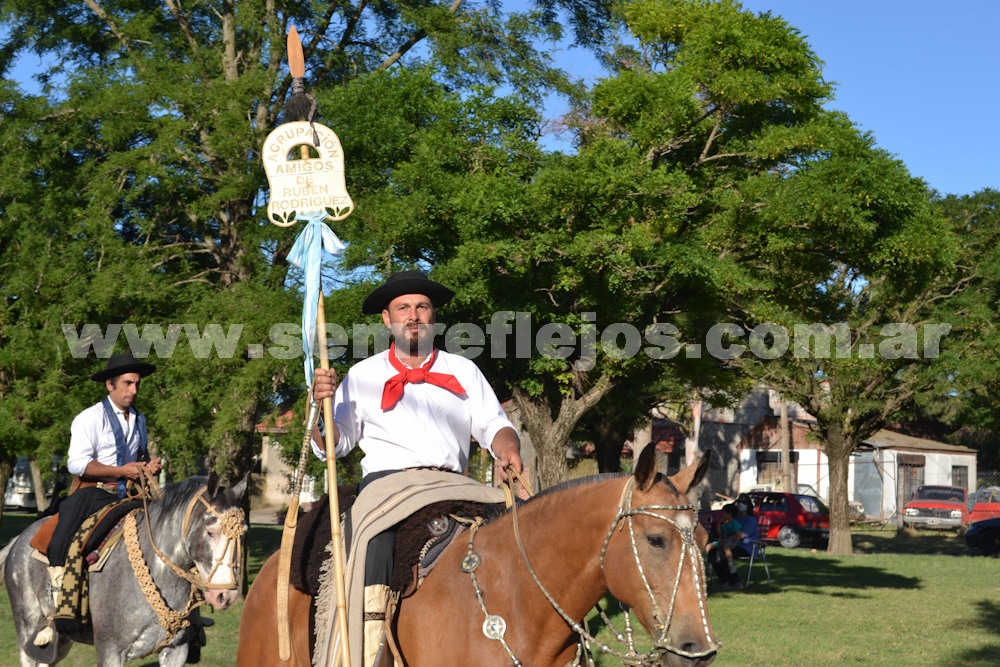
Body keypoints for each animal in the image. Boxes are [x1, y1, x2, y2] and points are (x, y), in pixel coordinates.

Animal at [0, 474, 247, 667]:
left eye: (242, 532)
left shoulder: (176, 651)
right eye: (210, 531)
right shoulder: (111, 651)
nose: (225, 595)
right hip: (27, 626)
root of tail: (17, 542)